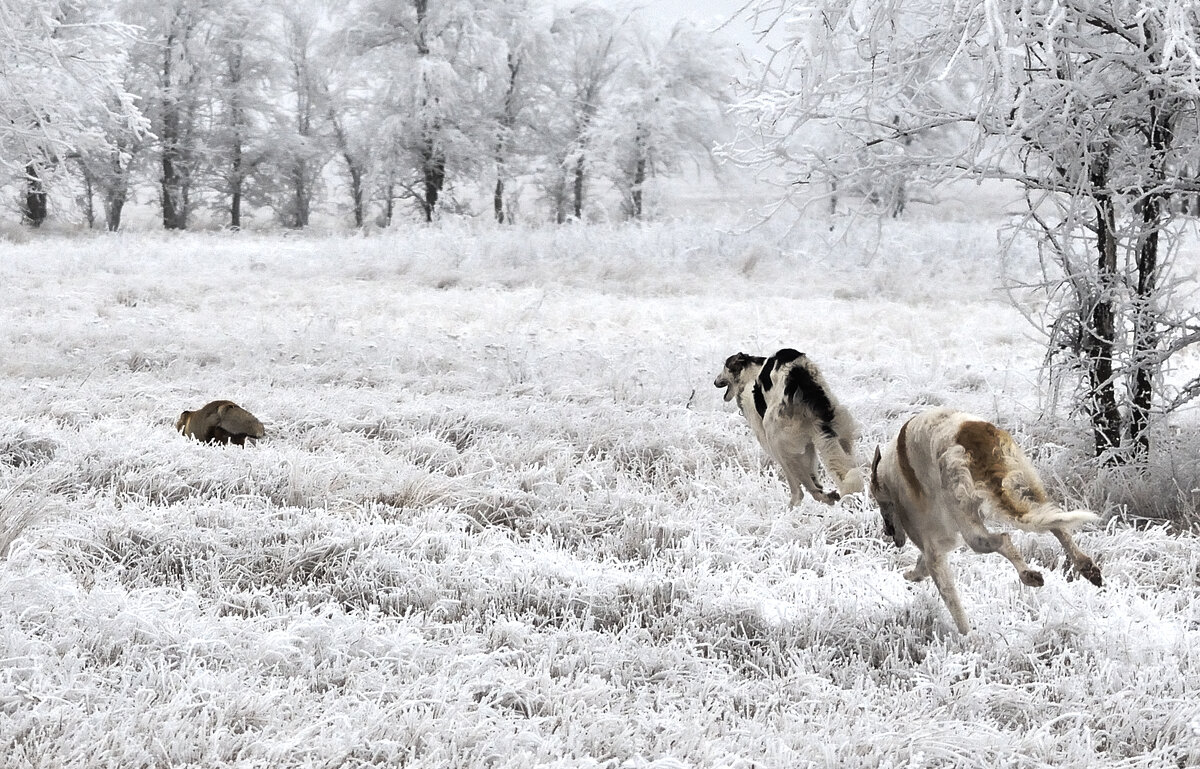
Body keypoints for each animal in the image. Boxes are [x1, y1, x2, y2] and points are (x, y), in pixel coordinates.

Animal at [710, 350, 864, 506]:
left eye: (725, 365)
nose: (715, 382)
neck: (749, 374)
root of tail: (797, 374)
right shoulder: (807, 443)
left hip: (776, 439)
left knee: (800, 487)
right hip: (835, 434)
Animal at [868, 405, 1099, 633]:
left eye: (879, 503)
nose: (887, 532)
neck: (887, 477)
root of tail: (969, 433)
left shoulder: (932, 546)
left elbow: (952, 602)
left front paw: (968, 638)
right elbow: (921, 566)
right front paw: (912, 575)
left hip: (969, 523)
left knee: (1003, 539)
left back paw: (1029, 575)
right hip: (1027, 486)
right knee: (1058, 526)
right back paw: (1087, 568)